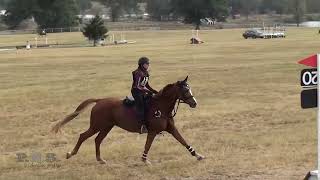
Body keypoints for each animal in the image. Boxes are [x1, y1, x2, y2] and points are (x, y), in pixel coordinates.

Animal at [51, 76, 204, 165]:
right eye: (185, 90)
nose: (194, 103)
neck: (161, 107)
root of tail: (100, 101)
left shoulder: (171, 129)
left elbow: (183, 141)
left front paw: (197, 155)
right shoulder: (152, 131)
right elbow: (148, 145)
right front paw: (144, 160)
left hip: (107, 127)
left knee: (97, 140)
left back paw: (100, 159)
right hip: (97, 126)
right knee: (83, 136)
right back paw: (71, 154)